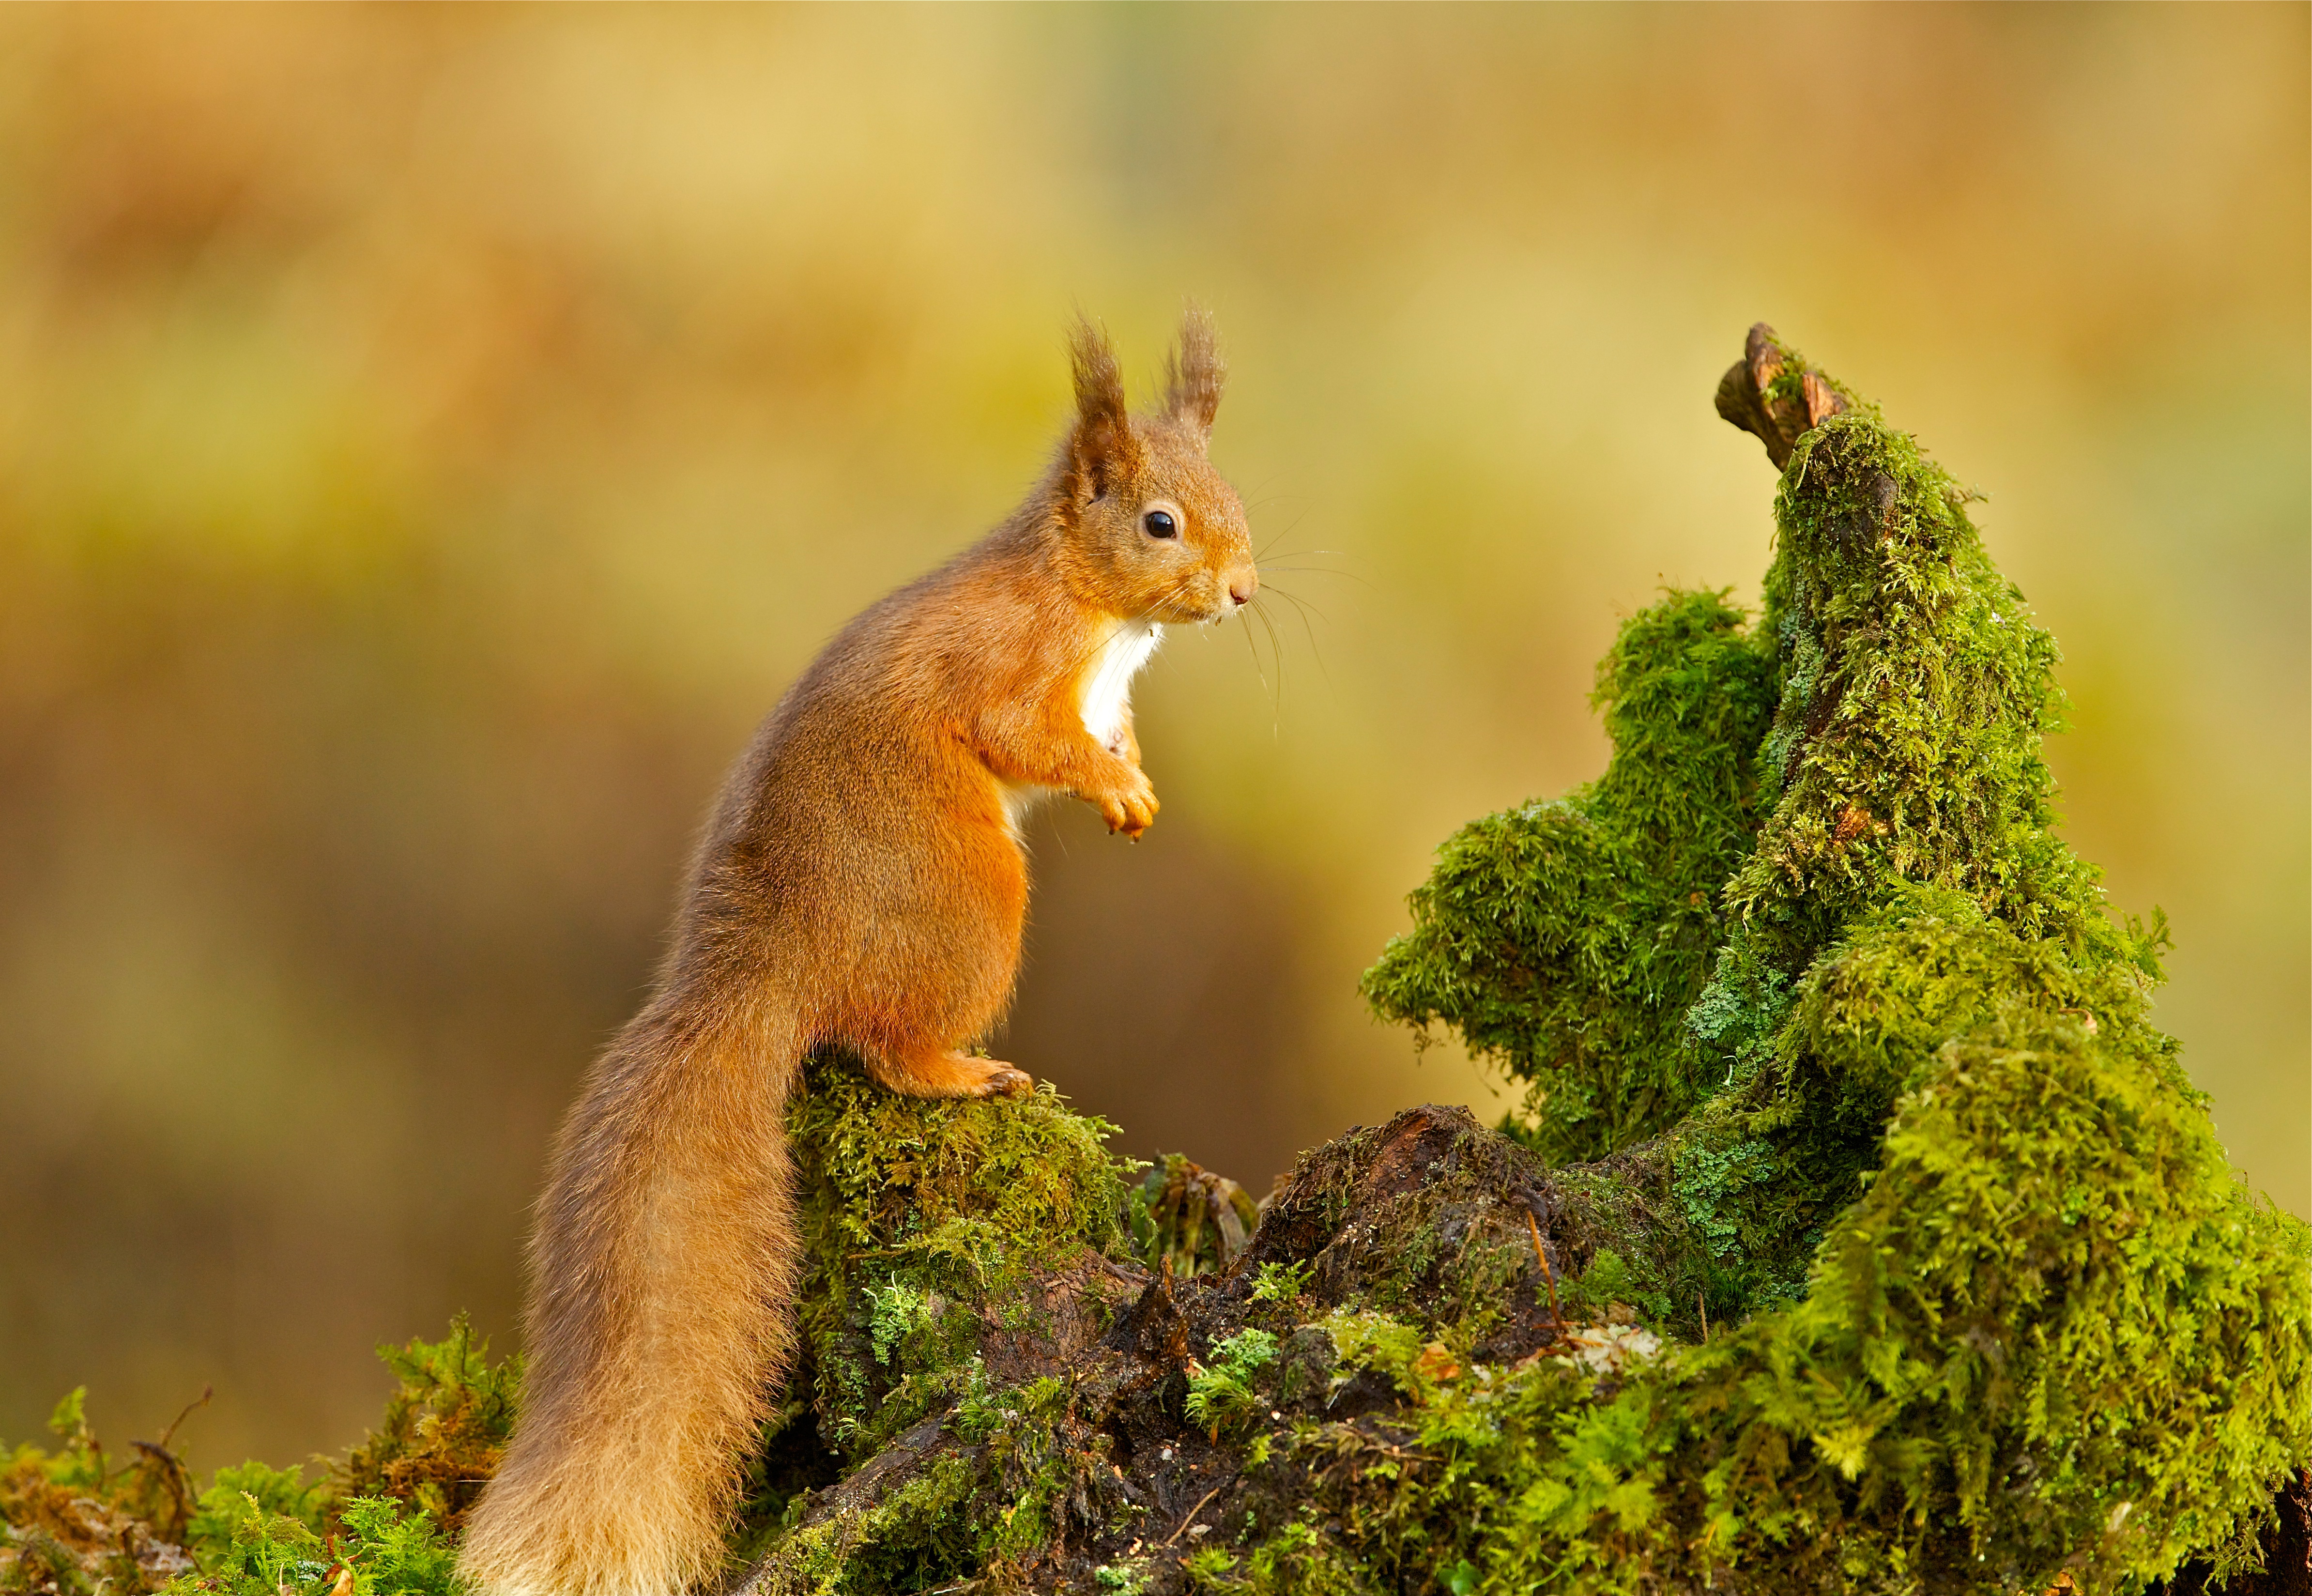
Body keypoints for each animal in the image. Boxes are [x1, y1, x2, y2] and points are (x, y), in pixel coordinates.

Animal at [462, 310, 1267, 1591]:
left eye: (1232, 494)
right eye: (1158, 522)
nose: (1242, 588)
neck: (1086, 602)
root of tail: (761, 970)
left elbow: (1117, 735)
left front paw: (1134, 785)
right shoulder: (1013, 668)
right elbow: (1029, 735)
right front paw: (1106, 781)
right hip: (970, 901)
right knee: (885, 1045)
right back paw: (964, 1070)